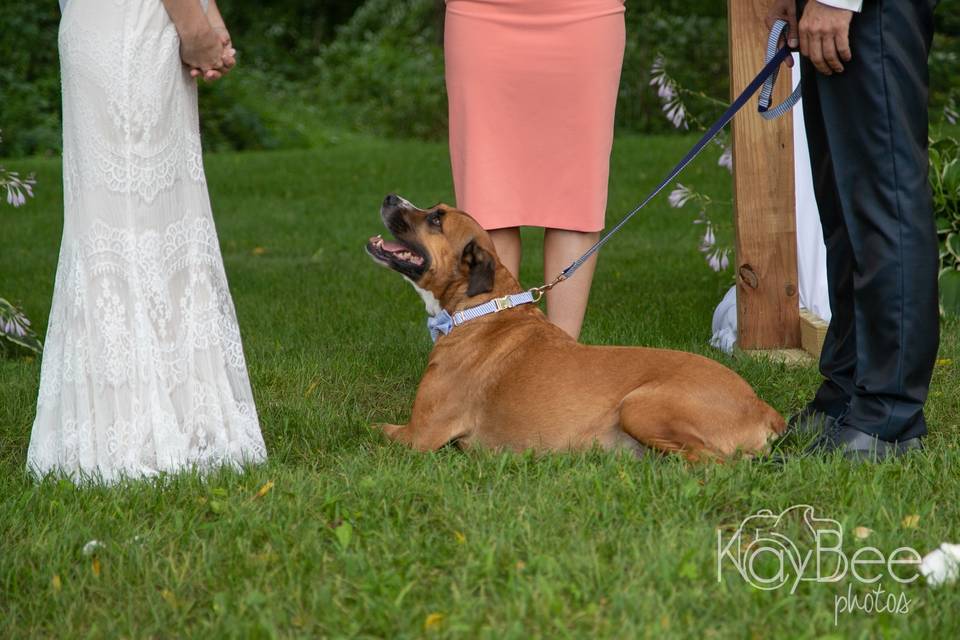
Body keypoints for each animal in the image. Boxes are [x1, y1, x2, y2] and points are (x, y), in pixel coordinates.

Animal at [364, 192, 784, 458]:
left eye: (436, 218)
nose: (389, 197)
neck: (481, 308)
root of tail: (761, 406)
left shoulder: (418, 435)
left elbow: (366, 428)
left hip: (640, 406)